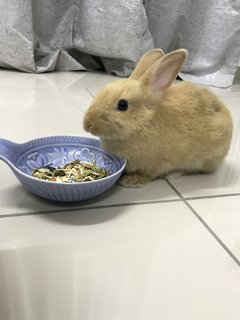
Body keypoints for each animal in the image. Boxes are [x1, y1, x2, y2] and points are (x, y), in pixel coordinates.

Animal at [84, 48, 232, 186]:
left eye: (122, 105)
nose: (88, 124)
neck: (143, 121)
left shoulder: (156, 164)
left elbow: (148, 174)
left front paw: (131, 180)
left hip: (205, 158)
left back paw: (174, 175)